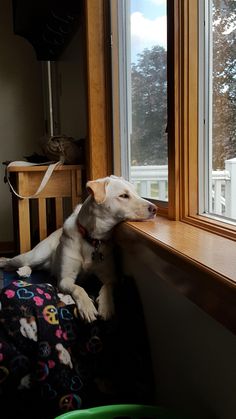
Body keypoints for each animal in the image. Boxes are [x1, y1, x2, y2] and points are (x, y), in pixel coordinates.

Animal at [0, 176, 157, 324]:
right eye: (124, 196)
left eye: (136, 193)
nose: (155, 208)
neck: (92, 239)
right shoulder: (65, 280)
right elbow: (78, 288)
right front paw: (87, 307)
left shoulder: (111, 277)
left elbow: (107, 287)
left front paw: (106, 306)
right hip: (34, 255)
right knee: (13, 261)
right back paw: (6, 262)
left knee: (33, 267)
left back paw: (24, 271)